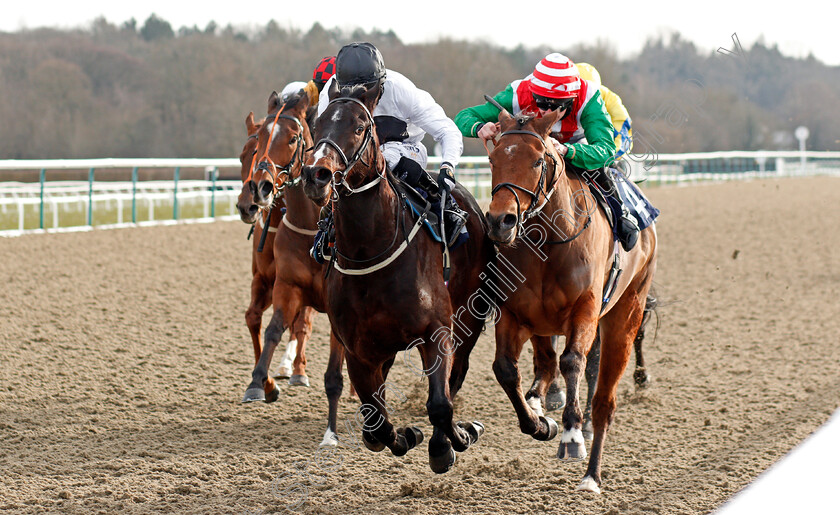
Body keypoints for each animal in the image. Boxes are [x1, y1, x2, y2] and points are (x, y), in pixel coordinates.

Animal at [300, 85, 496, 476]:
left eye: (361, 126)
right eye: (317, 125)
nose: (317, 174)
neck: (371, 252)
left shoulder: (437, 330)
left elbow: (441, 403)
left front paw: (451, 441)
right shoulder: (358, 348)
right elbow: (374, 422)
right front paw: (408, 435)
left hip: (472, 312)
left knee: (457, 373)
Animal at [482, 107, 660, 494]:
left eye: (538, 160)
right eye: (492, 158)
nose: (501, 221)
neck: (548, 244)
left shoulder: (586, 312)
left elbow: (573, 362)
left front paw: (571, 433)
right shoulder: (515, 315)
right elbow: (507, 369)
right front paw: (539, 423)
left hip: (626, 309)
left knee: (604, 395)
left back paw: (592, 471)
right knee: (550, 366)